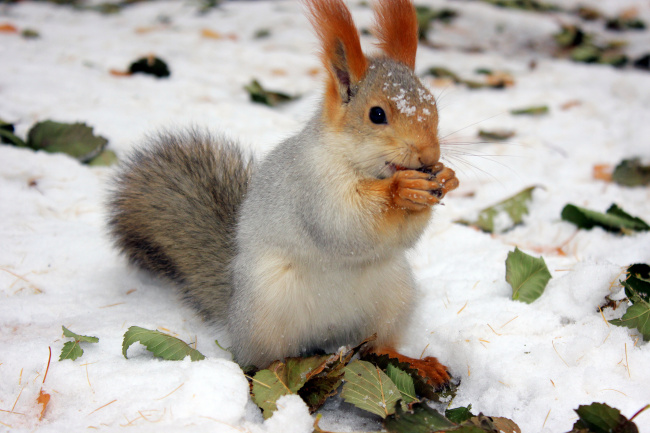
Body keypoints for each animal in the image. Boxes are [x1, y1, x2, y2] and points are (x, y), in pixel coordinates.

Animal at [107, 0, 456, 384]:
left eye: (434, 107)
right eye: (376, 114)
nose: (430, 156)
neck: (360, 167)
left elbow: (402, 235)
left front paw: (446, 178)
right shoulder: (311, 187)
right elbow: (344, 223)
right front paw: (402, 188)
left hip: (394, 296)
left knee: (379, 345)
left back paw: (415, 363)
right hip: (266, 311)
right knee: (261, 360)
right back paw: (283, 372)